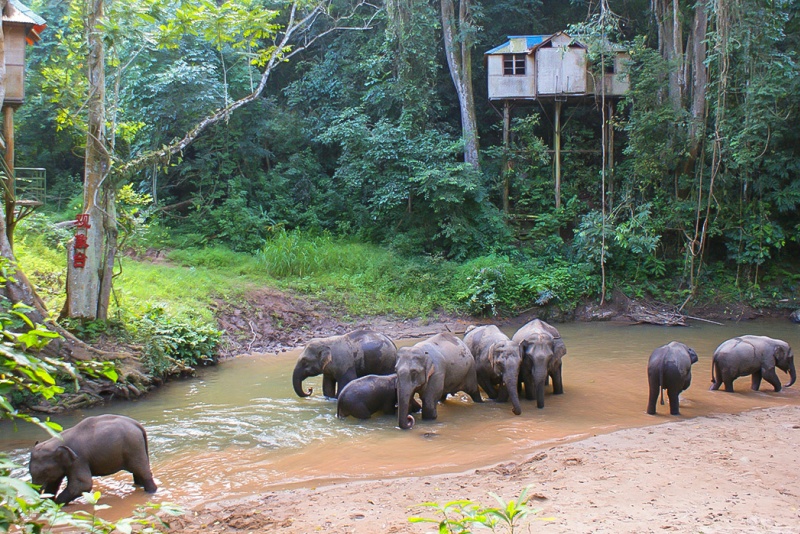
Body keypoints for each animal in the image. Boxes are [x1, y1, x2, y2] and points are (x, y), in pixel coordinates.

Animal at [28, 414, 156, 506]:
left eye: (44, 472)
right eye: (30, 472)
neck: (57, 441)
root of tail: (138, 425)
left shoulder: (79, 459)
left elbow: (83, 484)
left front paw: (57, 504)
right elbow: (54, 483)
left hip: (133, 447)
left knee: (143, 472)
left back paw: (151, 492)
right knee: (138, 472)